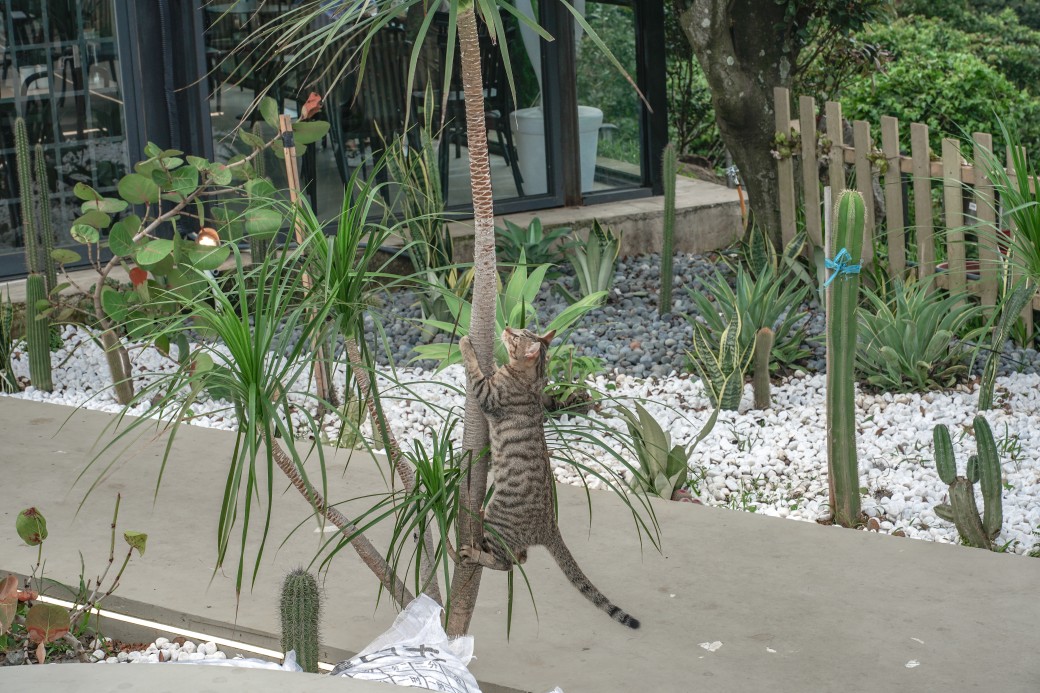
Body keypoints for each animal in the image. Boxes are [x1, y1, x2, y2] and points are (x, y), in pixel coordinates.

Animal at [457, 326, 636, 628]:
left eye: (517, 337)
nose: (507, 328)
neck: (532, 379)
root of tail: (550, 526)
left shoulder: (487, 395)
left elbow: (475, 369)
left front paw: (466, 344)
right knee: (520, 558)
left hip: (499, 518)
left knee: (507, 563)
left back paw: (475, 551)